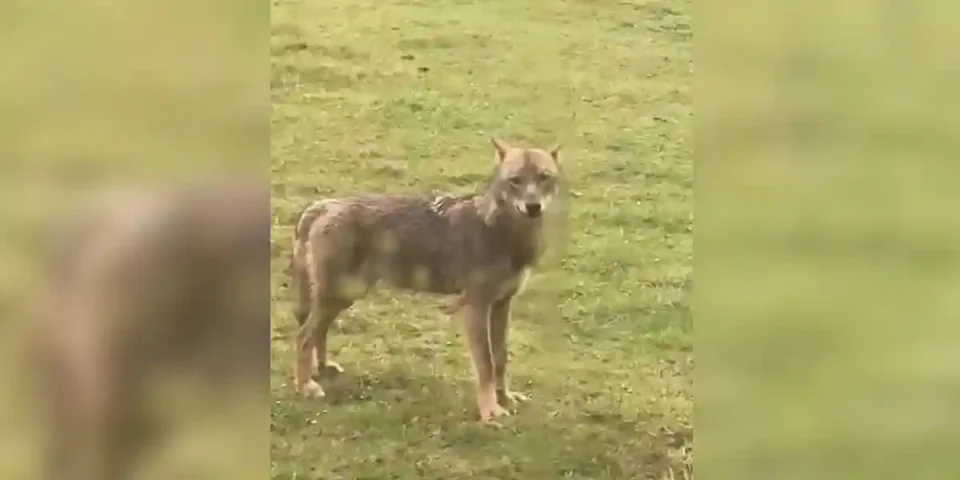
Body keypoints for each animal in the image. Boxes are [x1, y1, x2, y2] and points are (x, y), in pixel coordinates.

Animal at [290, 137, 563, 423]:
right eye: (515, 181)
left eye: (543, 177)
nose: (533, 207)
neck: (502, 232)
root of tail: (323, 206)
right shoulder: (475, 308)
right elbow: (486, 365)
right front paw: (490, 411)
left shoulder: (501, 305)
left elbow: (500, 359)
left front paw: (505, 397)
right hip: (340, 295)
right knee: (303, 336)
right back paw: (305, 386)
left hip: (343, 297)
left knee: (318, 332)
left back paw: (322, 369)